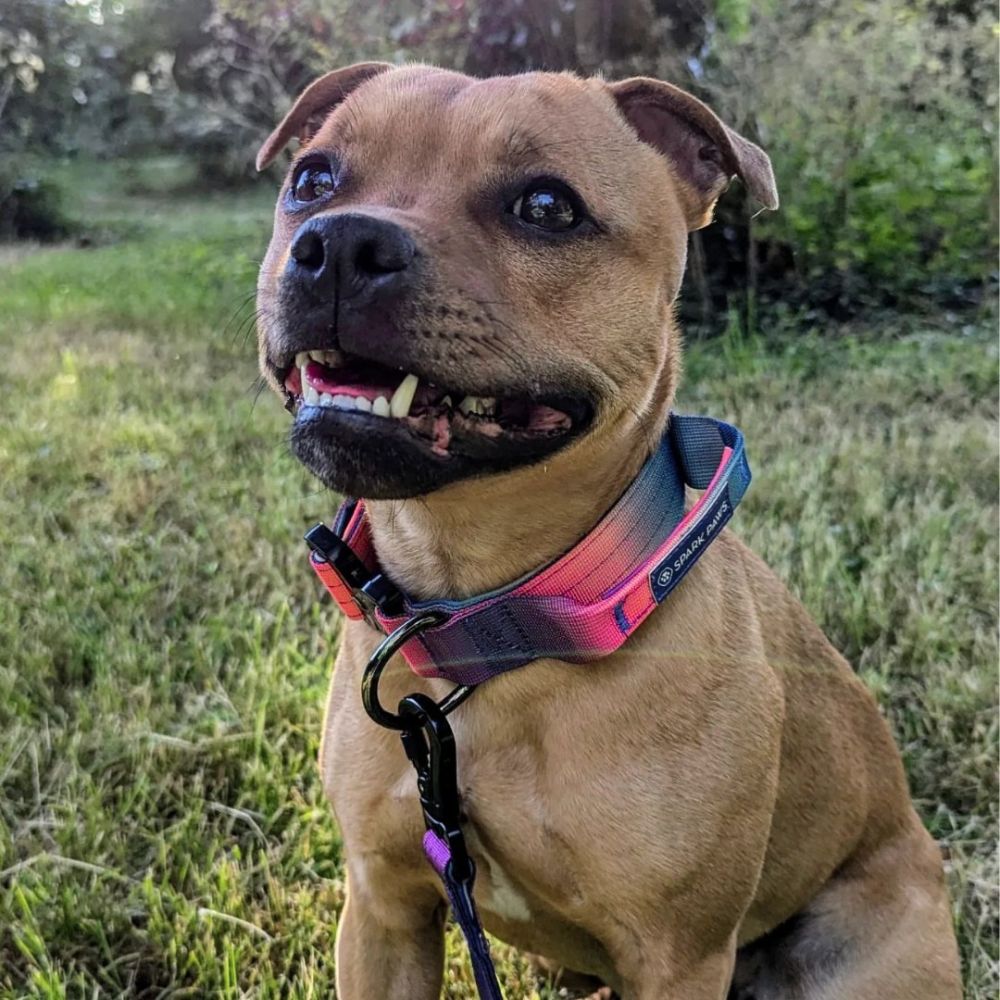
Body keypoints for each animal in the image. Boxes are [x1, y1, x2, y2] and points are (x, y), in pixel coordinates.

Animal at [254, 64, 964, 1000]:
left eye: (547, 206)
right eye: (314, 180)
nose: (341, 244)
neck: (495, 624)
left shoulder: (678, 954)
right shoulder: (383, 910)